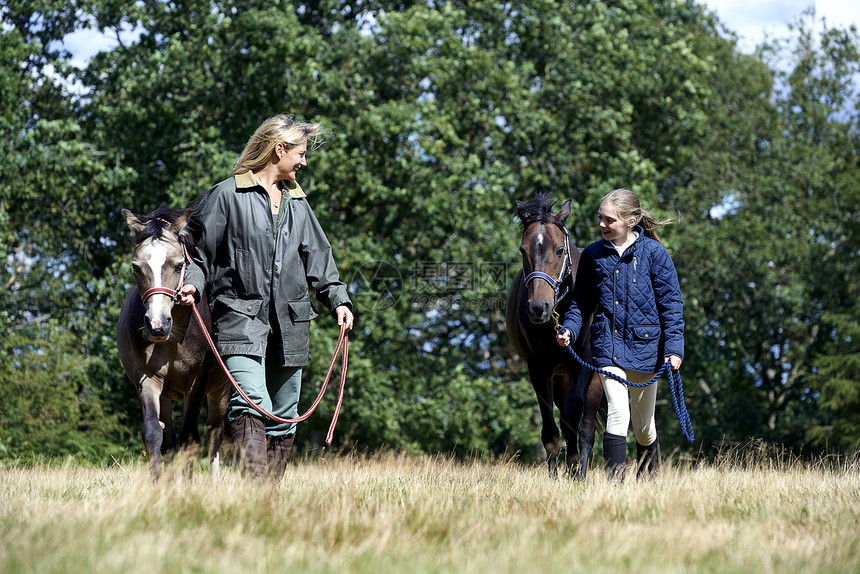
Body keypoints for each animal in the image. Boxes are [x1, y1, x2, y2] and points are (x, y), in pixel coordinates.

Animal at [116, 209, 228, 480]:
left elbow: (190, 436)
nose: (157, 325)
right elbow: (154, 433)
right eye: (136, 267)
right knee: (168, 438)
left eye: (178, 265)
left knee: (215, 431)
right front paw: (159, 483)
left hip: (220, 391)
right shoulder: (147, 378)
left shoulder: (196, 383)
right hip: (166, 394)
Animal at [504, 196, 604, 480]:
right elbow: (550, 429)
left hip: (593, 378)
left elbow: (574, 415)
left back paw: (580, 472)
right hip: (560, 378)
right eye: (522, 250)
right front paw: (554, 475)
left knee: (586, 428)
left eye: (560, 250)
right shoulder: (539, 369)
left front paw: (573, 465)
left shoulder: (581, 364)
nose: (539, 308)